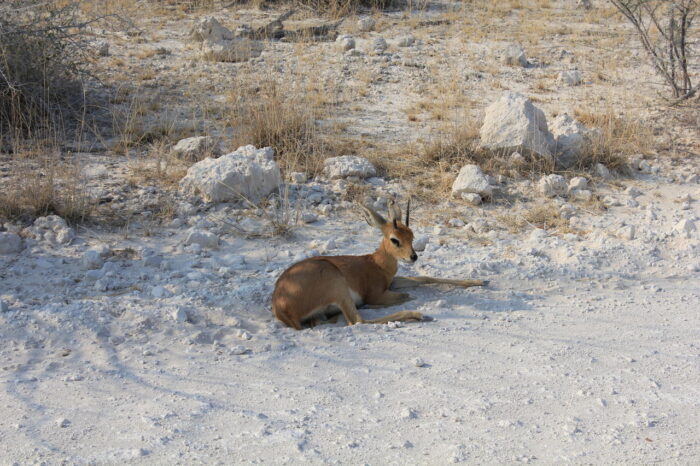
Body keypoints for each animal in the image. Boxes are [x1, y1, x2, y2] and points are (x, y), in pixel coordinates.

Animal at [270, 198, 484, 330]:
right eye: (394, 239)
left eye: (411, 236)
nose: (413, 257)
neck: (376, 263)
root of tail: (282, 307)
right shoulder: (377, 294)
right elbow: (406, 294)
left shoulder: (393, 281)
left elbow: (424, 277)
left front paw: (479, 282)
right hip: (337, 285)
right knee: (357, 320)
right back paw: (417, 314)